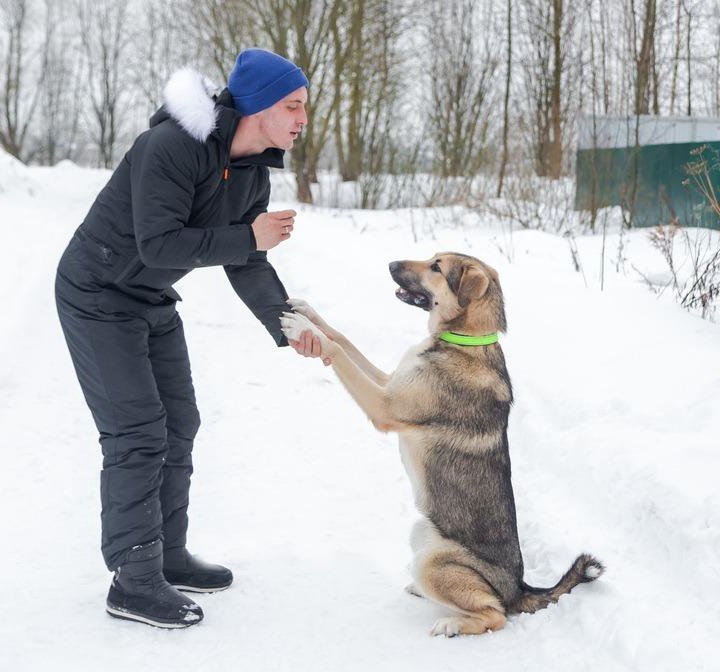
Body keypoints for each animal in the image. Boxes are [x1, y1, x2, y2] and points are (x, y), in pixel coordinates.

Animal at [280, 252, 600, 636]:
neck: (461, 338)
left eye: (436, 267)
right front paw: (308, 313)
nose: (390, 263)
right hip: (423, 533)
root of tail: (519, 588)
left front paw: (303, 330)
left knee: (495, 615)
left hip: (432, 558)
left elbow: (339, 351)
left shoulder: (383, 405)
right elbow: (344, 339)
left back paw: (453, 624)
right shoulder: (390, 382)